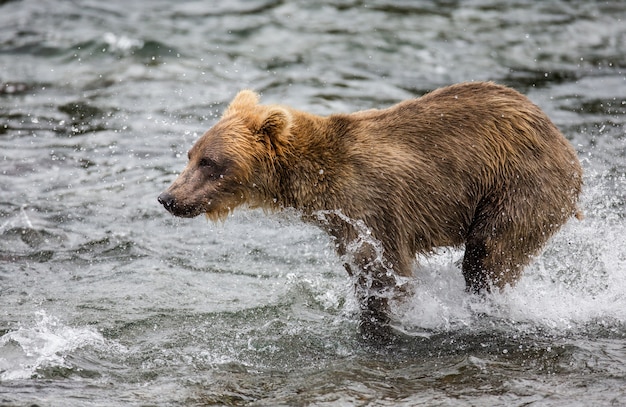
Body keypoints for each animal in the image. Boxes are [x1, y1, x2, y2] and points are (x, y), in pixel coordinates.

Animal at [158, 81, 584, 340]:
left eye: (210, 163)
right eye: (191, 155)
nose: (167, 197)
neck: (316, 185)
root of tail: (559, 137)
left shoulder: (374, 210)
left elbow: (387, 273)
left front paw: (385, 320)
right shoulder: (343, 225)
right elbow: (363, 273)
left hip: (520, 186)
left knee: (489, 255)